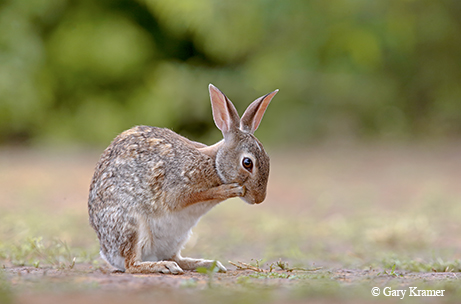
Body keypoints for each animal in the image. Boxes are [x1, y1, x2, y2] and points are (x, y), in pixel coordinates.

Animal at [88, 84, 278, 274]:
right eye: (247, 163)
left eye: (268, 159)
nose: (259, 199)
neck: (214, 164)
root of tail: (107, 253)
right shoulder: (176, 187)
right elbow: (188, 198)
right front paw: (229, 190)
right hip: (130, 225)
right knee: (131, 265)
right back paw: (164, 266)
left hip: (177, 237)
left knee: (175, 258)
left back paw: (208, 264)